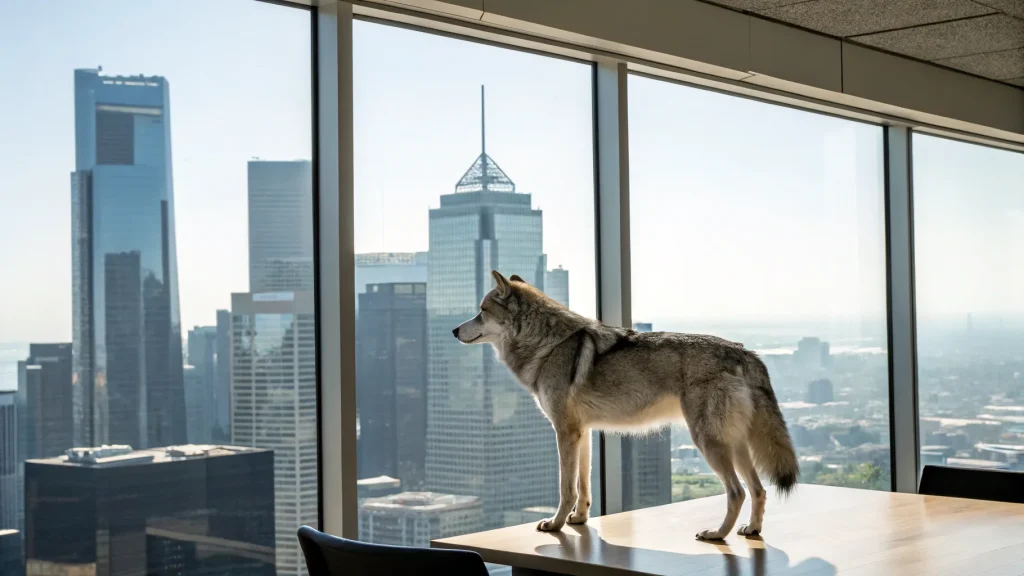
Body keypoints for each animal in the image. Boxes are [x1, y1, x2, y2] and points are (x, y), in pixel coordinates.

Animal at [452, 271, 798, 541]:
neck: (548, 344)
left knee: (737, 492)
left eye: (481, 310)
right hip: (734, 444)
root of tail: (744, 351)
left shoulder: (564, 432)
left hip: (709, 443)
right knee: (759, 490)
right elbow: (583, 486)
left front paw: (555, 524)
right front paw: (579, 520)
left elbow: (566, 488)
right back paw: (751, 530)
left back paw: (716, 534)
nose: (454, 330)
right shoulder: (582, 433)